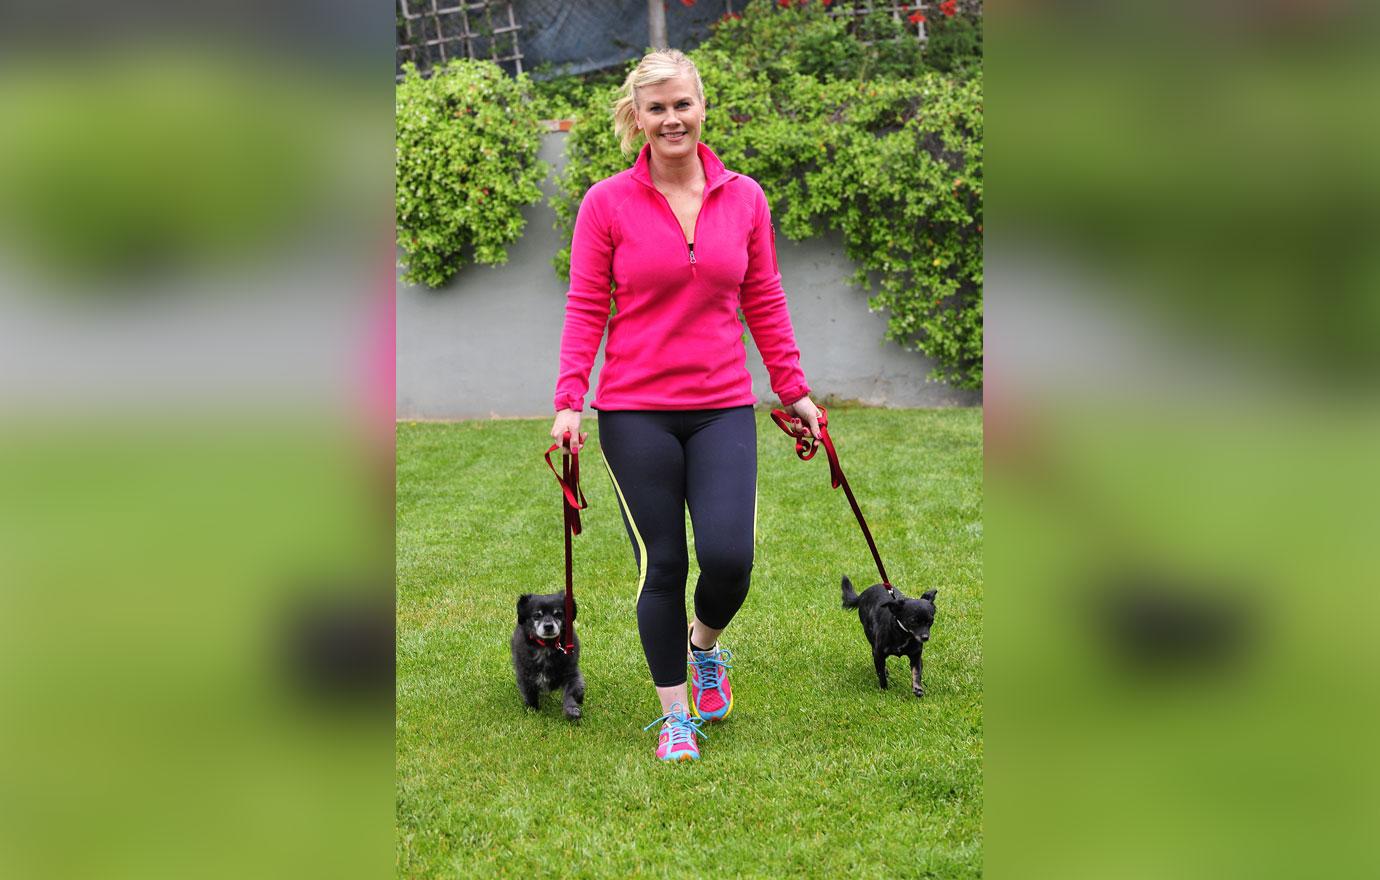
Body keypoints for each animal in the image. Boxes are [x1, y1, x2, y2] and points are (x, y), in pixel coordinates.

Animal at [516, 593, 585, 722]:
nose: (548, 626)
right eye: (537, 615)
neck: (547, 646)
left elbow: (571, 692)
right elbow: (529, 692)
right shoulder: (525, 674)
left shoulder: (571, 673)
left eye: (558, 614)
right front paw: (533, 710)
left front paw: (571, 710)